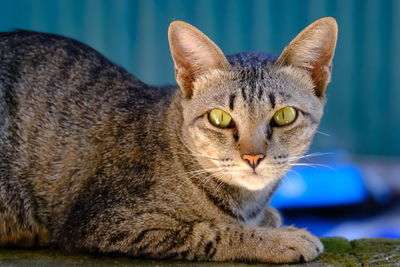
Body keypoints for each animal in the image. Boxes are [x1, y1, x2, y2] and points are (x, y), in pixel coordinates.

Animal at [0, 17, 338, 264]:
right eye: (220, 118)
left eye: (284, 116)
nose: (253, 157)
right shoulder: (102, 222)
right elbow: (212, 232)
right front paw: (281, 239)